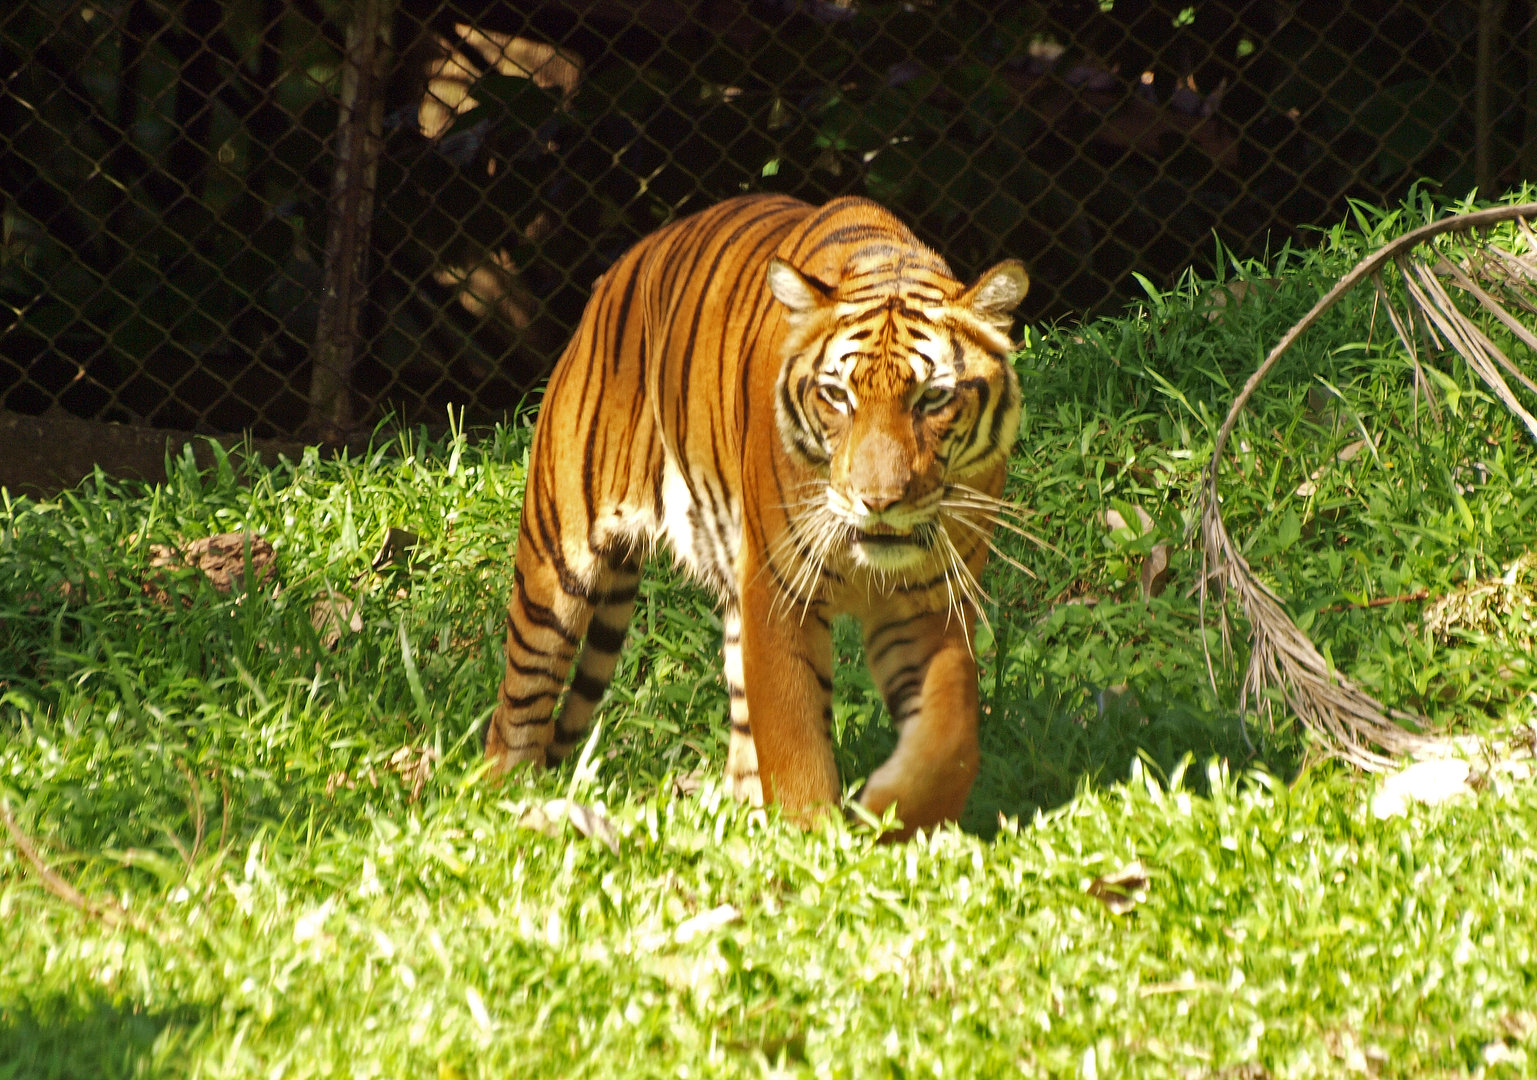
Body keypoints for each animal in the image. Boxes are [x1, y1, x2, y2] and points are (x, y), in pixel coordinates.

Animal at [486, 193, 1028, 839]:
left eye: (934, 398)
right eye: (838, 396)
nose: (877, 501)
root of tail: (615, 273)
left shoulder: (930, 600)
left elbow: (950, 735)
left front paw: (891, 815)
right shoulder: (779, 590)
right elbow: (794, 738)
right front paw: (816, 843)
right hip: (554, 562)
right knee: (515, 711)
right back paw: (507, 805)